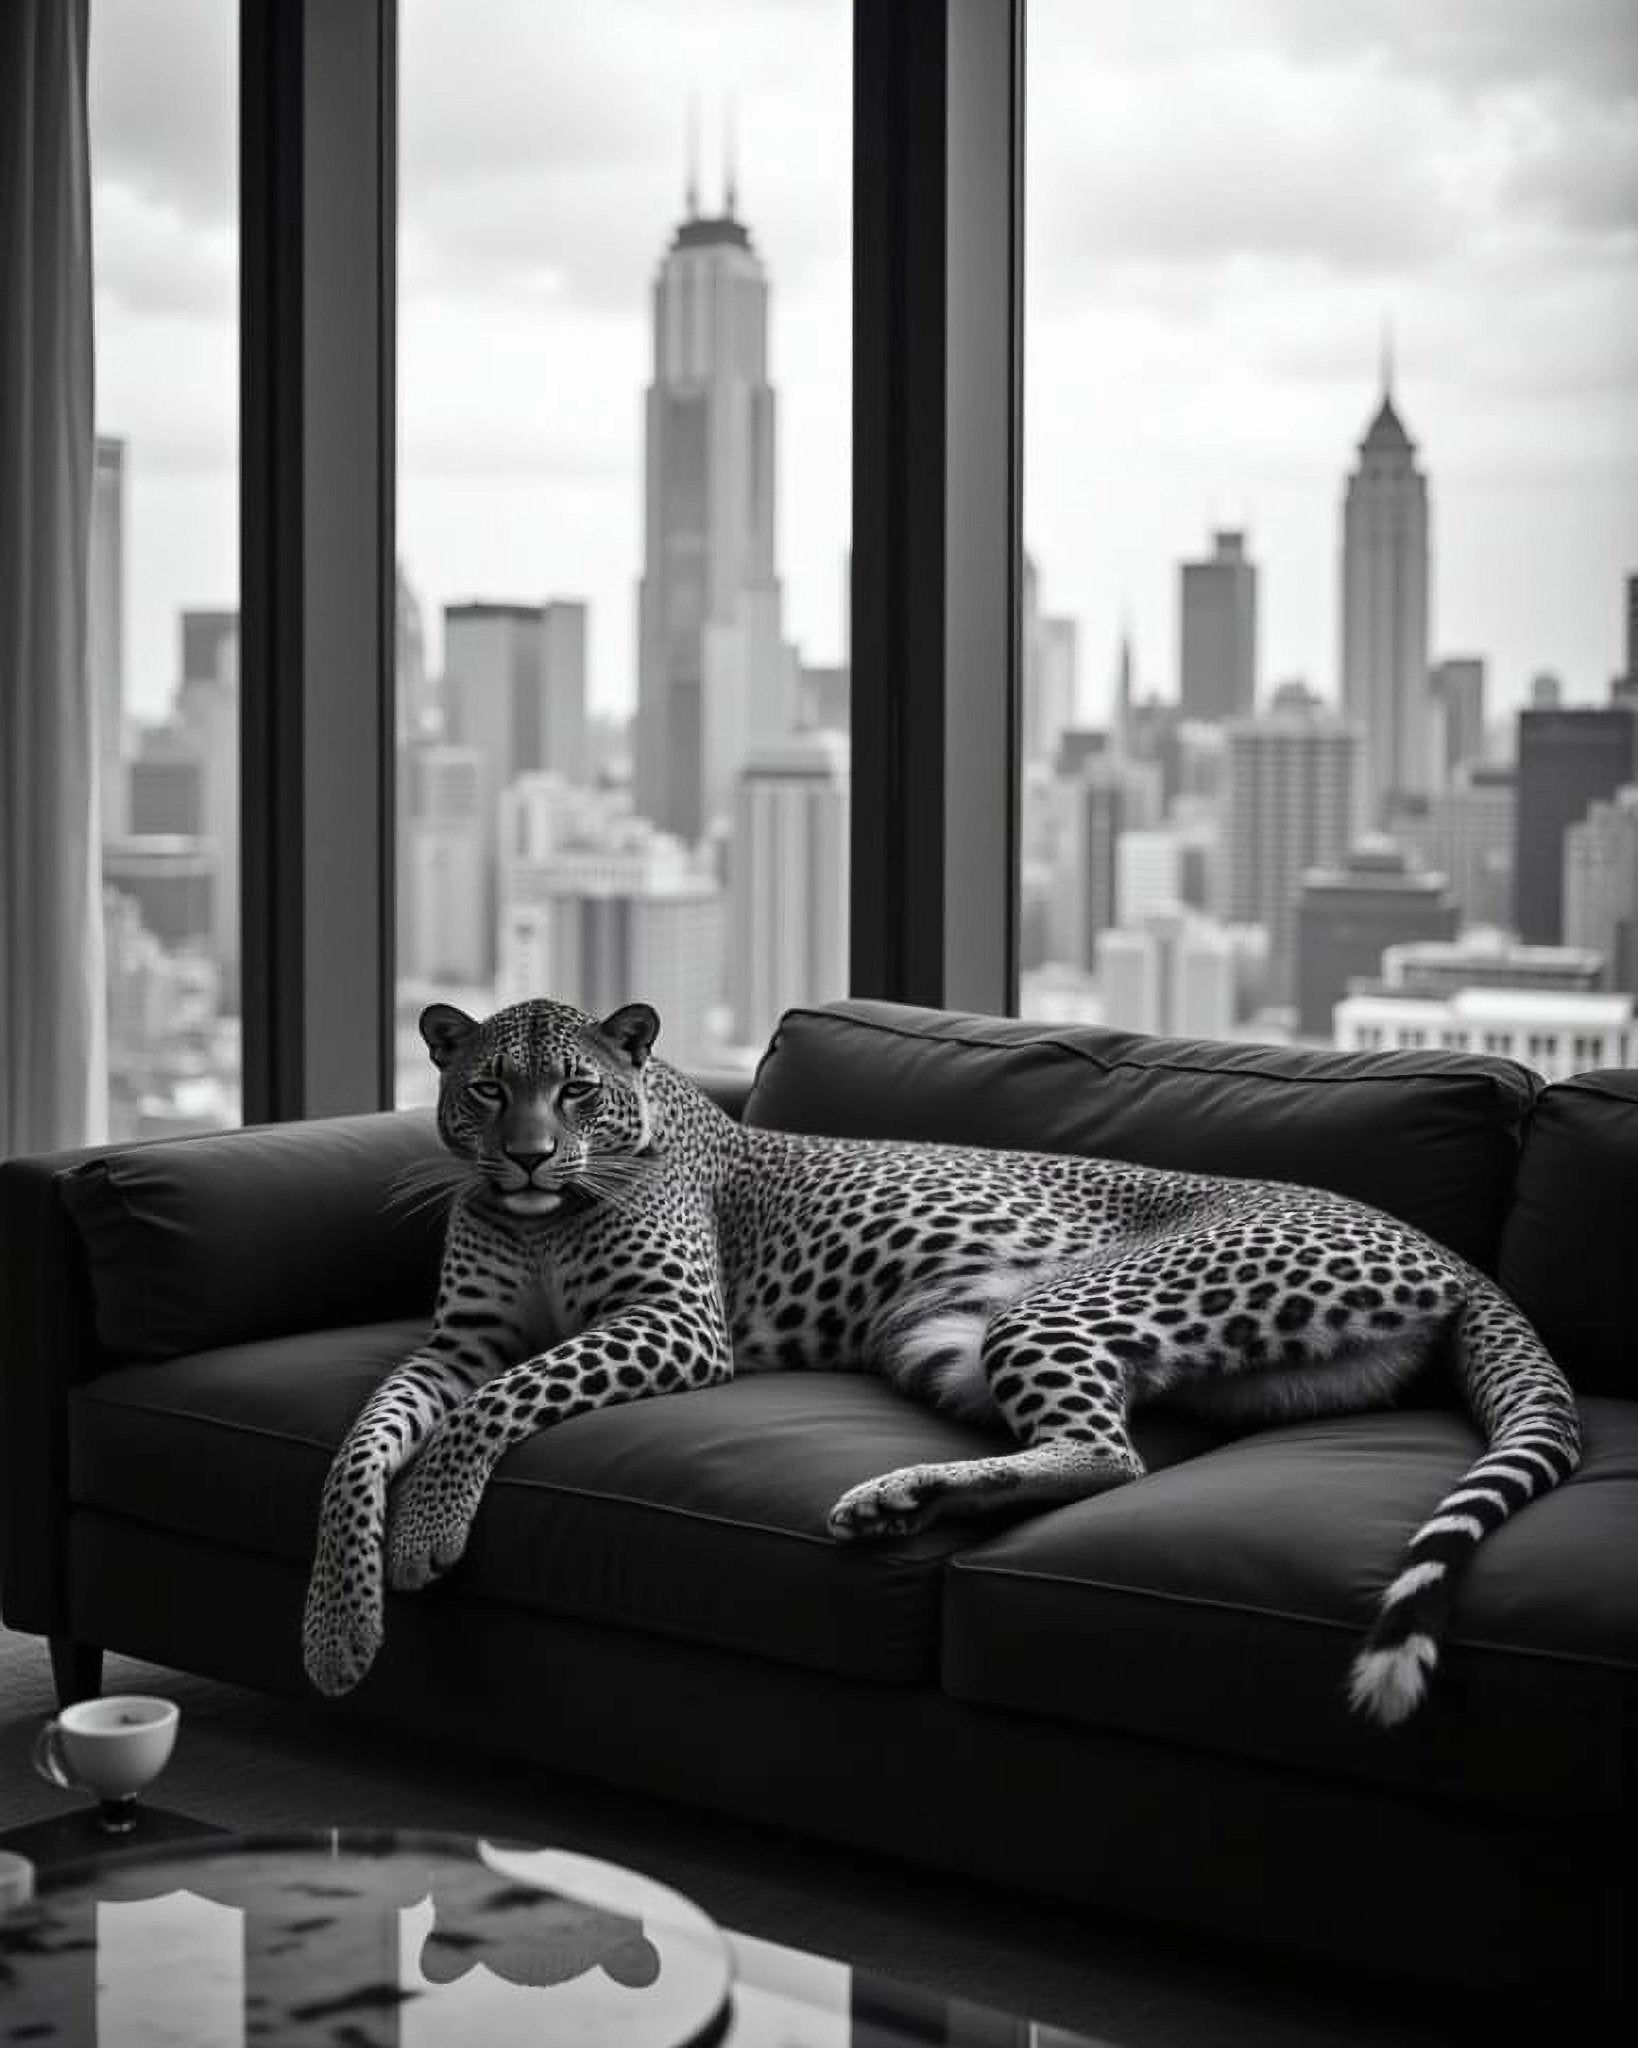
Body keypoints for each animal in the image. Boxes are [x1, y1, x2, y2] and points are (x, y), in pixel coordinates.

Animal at [302, 996, 1582, 1727]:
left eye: (575, 1089)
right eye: (485, 1087)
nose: (525, 1156)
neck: (541, 1222)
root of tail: (1451, 1251)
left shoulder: (672, 1322)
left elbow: (498, 1402)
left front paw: (423, 1534)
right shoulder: (455, 1340)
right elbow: (356, 1446)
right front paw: (338, 1629)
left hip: (1061, 1306)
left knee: (1112, 1454)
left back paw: (888, 1497)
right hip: (945, 1341)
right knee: (1087, 1440)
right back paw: (899, 1500)